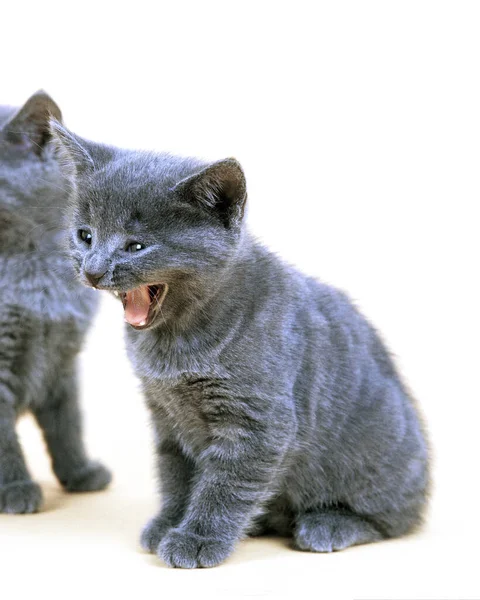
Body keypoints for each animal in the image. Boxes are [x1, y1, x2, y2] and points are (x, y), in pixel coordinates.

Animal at [50, 120, 430, 568]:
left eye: (137, 245)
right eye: (85, 235)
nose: (93, 271)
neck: (174, 345)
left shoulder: (256, 423)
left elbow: (224, 486)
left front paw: (196, 539)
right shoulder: (166, 417)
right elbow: (176, 475)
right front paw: (168, 523)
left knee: (395, 518)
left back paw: (327, 524)